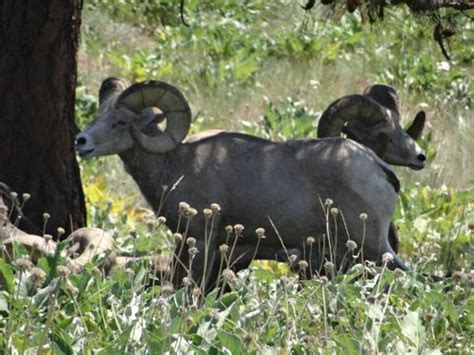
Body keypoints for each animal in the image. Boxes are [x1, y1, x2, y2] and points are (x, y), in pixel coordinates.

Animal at [77, 78, 426, 290]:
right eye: (98, 115)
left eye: (121, 122)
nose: (81, 142)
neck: (178, 164)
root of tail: (381, 170)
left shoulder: (201, 241)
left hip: (373, 245)